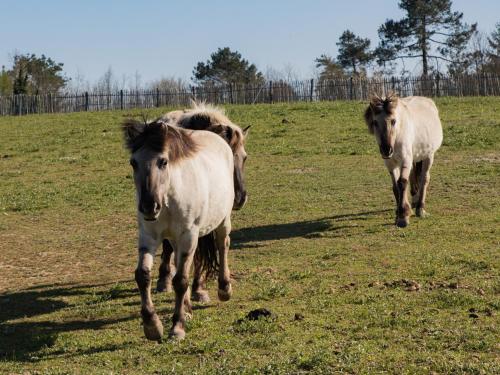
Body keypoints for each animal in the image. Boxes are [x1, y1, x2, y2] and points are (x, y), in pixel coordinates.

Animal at [364, 94, 442, 229]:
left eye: (393, 121)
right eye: (375, 122)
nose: (386, 150)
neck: (396, 136)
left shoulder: (405, 159)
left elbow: (402, 183)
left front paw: (403, 217)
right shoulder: (390, 164)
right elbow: (396, 187)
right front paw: (399, 214)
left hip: (428, 156)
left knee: (424, 179)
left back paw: (420, 209)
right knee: (413, 178)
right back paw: (414, 202)